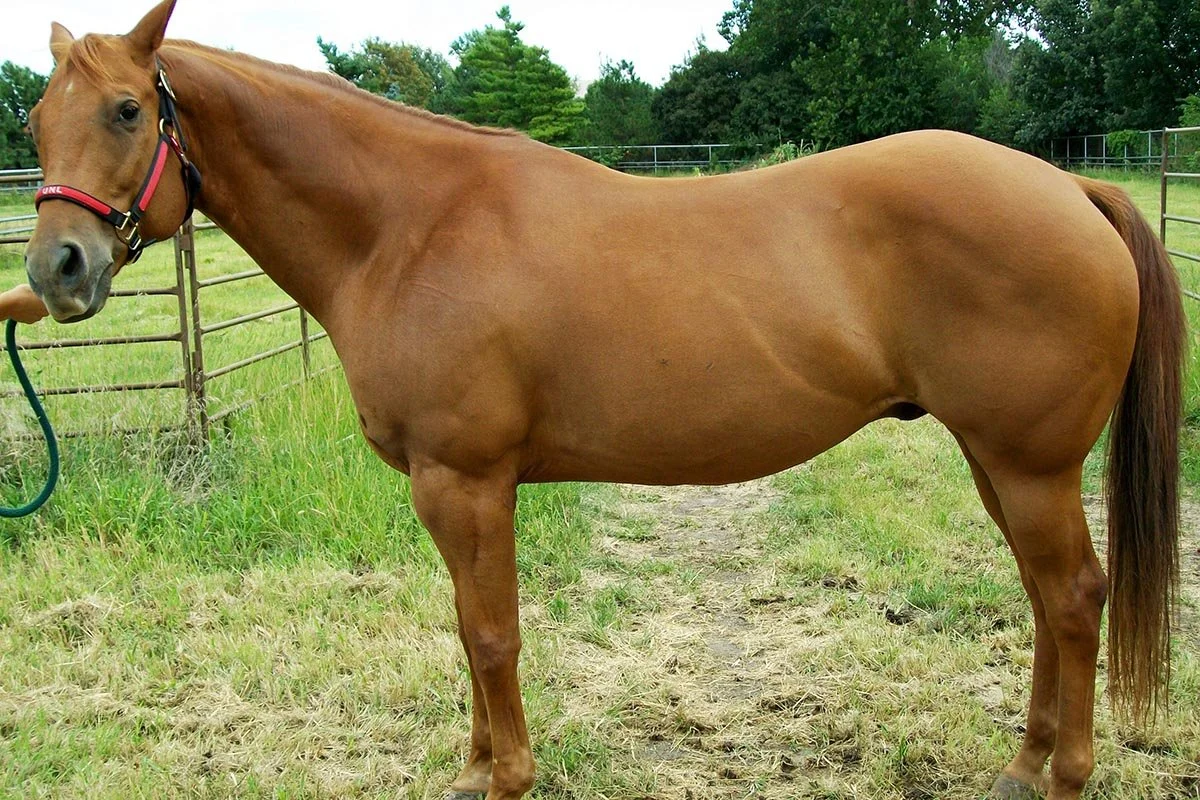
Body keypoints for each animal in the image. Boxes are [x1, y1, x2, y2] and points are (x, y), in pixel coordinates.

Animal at [15, 2, 1185, 798]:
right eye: (33, 119)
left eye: (127, 109)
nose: (58, 270)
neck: (409, 228)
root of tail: (1069, 186)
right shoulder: (448, 491)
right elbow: (464, 626)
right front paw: (474, 766)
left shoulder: (467, 482)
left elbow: (493, 635)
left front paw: (508, 776)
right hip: (997, 461)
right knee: (1044, 596)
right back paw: (1023, 764)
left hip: (1030, 465)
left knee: (1073, 596)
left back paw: (1064, 774)